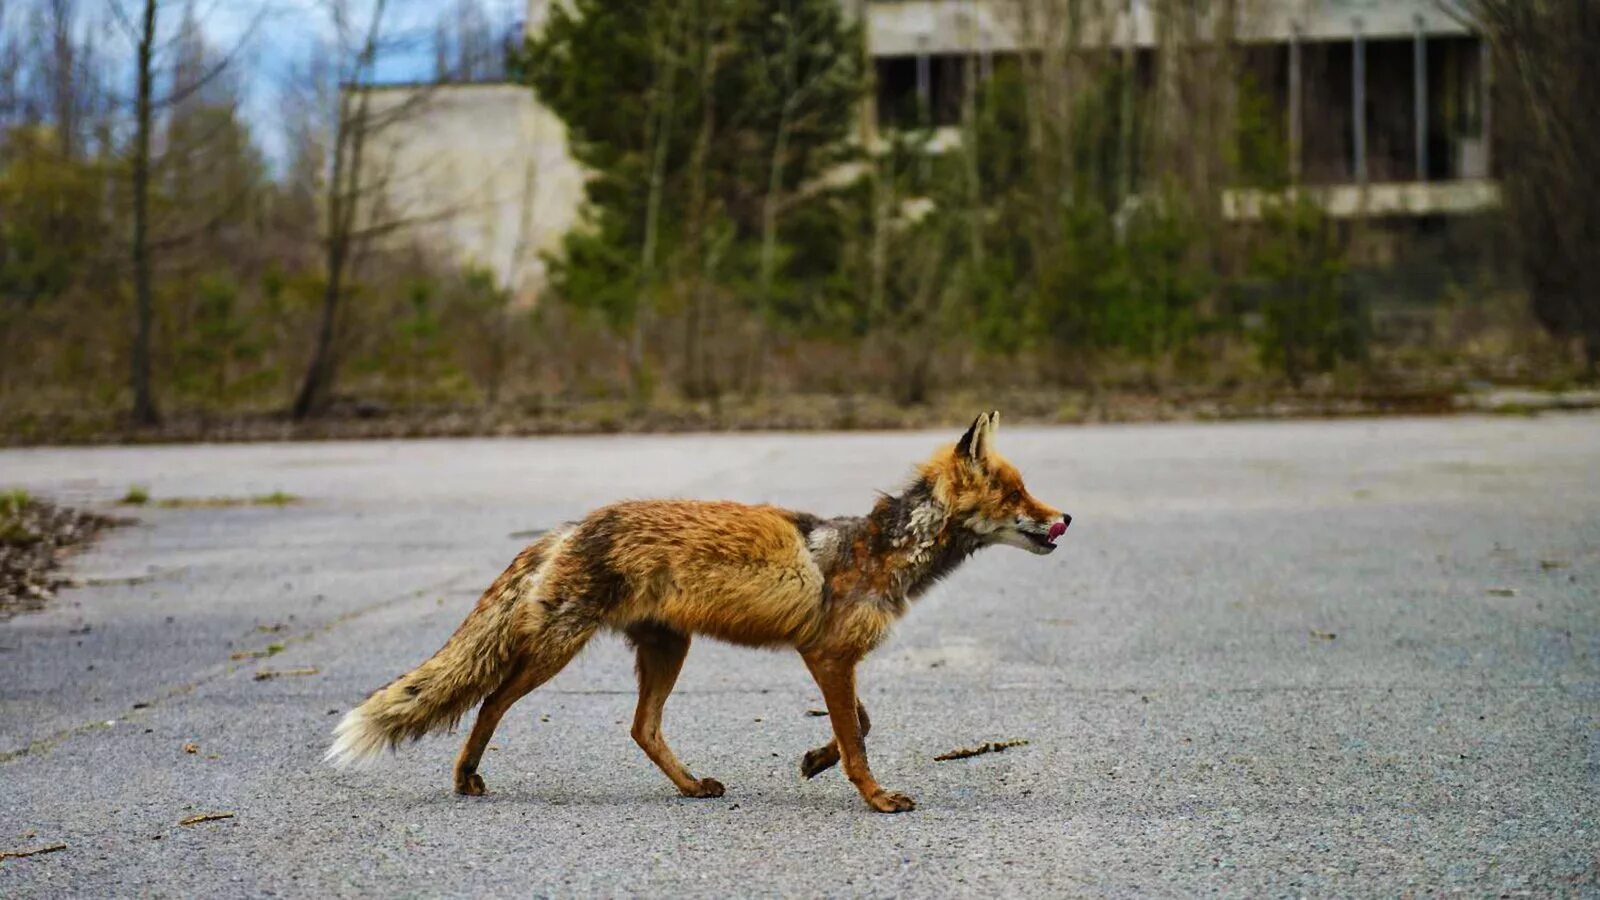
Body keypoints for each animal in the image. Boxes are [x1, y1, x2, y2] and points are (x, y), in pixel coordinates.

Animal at [326, 409, 1068, 810]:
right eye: (1015, 495)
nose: (1065, 519)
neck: (879, 551)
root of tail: (572, 524)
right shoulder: (827, 654)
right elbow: (859, 737)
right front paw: (874, 796)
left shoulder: (831, 657)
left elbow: (859, 722)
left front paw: (813, 761)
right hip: (557, 650)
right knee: (490, 702)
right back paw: (465, 776)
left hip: (667, 649)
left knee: (642, 728)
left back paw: (689, 787)